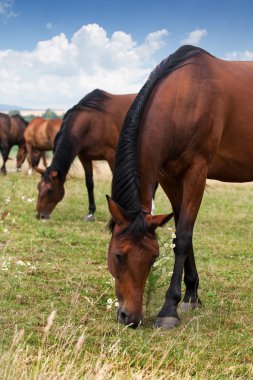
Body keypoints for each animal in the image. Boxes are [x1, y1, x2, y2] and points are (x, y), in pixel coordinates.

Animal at [35, 89, 136, 220]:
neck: (92, 122)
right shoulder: (85, 157)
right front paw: (91, 212)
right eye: (38, 187)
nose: (40, 215)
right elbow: (89, 183)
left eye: (50, 190)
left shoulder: (112, 156)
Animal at [106, 45, 253, 330]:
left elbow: (184, 236)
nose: (130, 317)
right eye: (118, 255)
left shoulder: (197, 172)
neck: (184, 99)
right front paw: (191, 296)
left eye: (153, 258)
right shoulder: (169, 177)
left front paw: (168, 309)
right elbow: (181, 234)